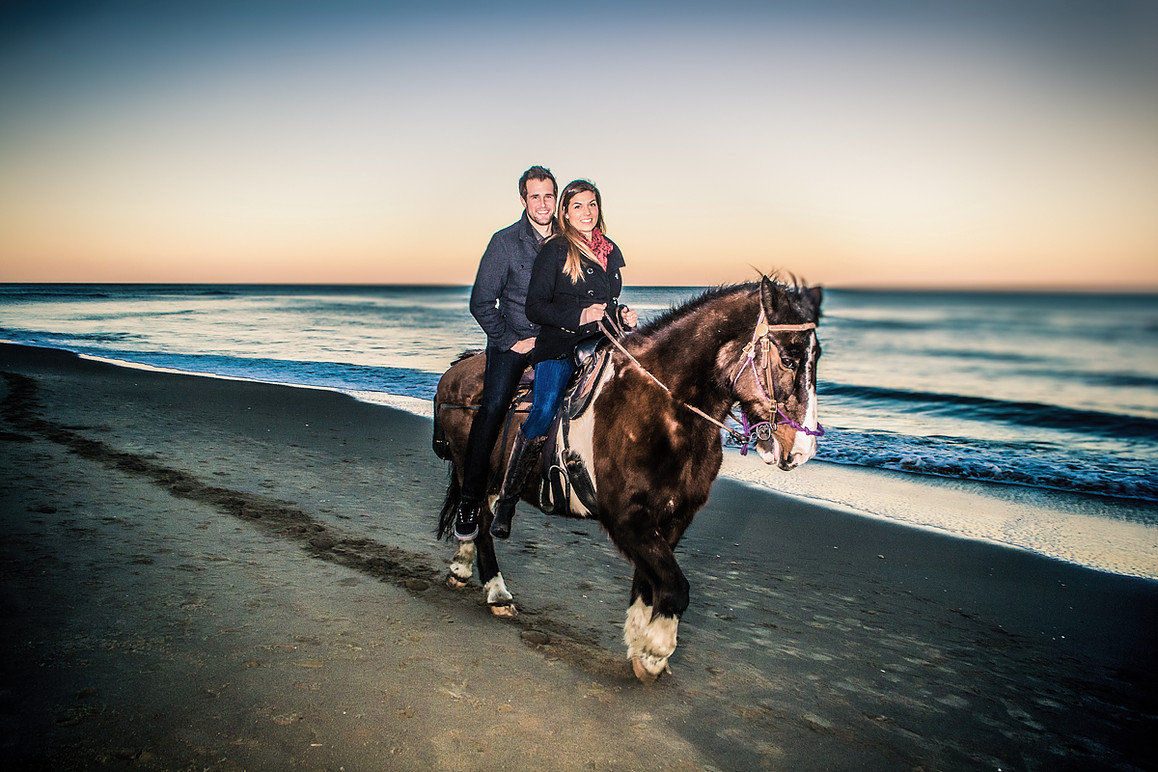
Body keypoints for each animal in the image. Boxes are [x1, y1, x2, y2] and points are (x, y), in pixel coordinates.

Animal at [430, 276, 819, 680]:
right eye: (789, 360)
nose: (803, 449)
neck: (662, 411)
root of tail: (454, 374)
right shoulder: (626, 519)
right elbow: (675, 587)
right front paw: (655, 650)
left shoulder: (672, 518)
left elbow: (651, 583)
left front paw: (638, 639)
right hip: (470, 465)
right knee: (482, 520)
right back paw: (496, 592)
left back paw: (461, 566)